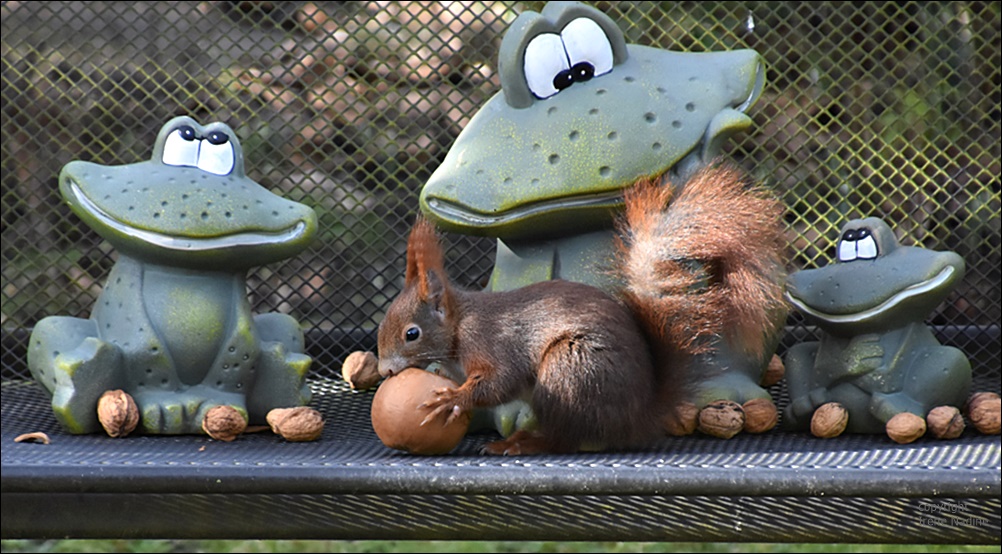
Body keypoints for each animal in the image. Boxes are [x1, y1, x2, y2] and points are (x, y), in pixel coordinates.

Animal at [376, 160, 789, 452]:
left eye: (412, 333)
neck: (460, 325)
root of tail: (638, 416)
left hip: (569, 371)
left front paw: (455, 398)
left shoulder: (491, 341)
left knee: (566, 438)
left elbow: (500, 381)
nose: (384, 371)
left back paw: (525, 444)